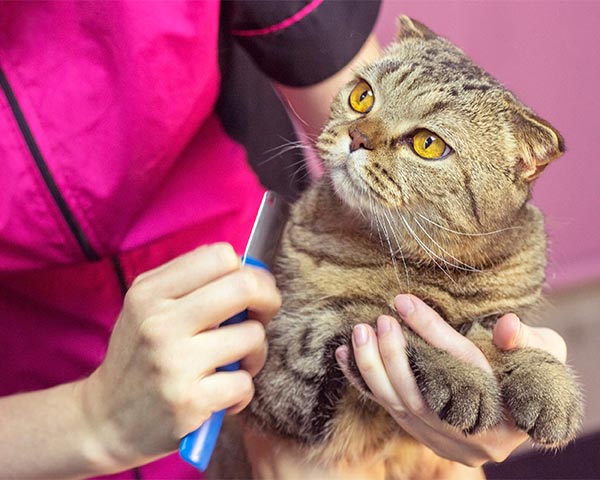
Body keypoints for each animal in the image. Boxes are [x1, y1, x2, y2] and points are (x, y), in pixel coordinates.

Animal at [209, 15, 584, 480]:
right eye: (362, 96)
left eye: (427, 144)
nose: (356, 136)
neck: (424, 265)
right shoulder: (278, 368)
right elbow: (381, 316)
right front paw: (461, 375)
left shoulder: (506, 309)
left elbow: (492, 330)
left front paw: (547, 381)